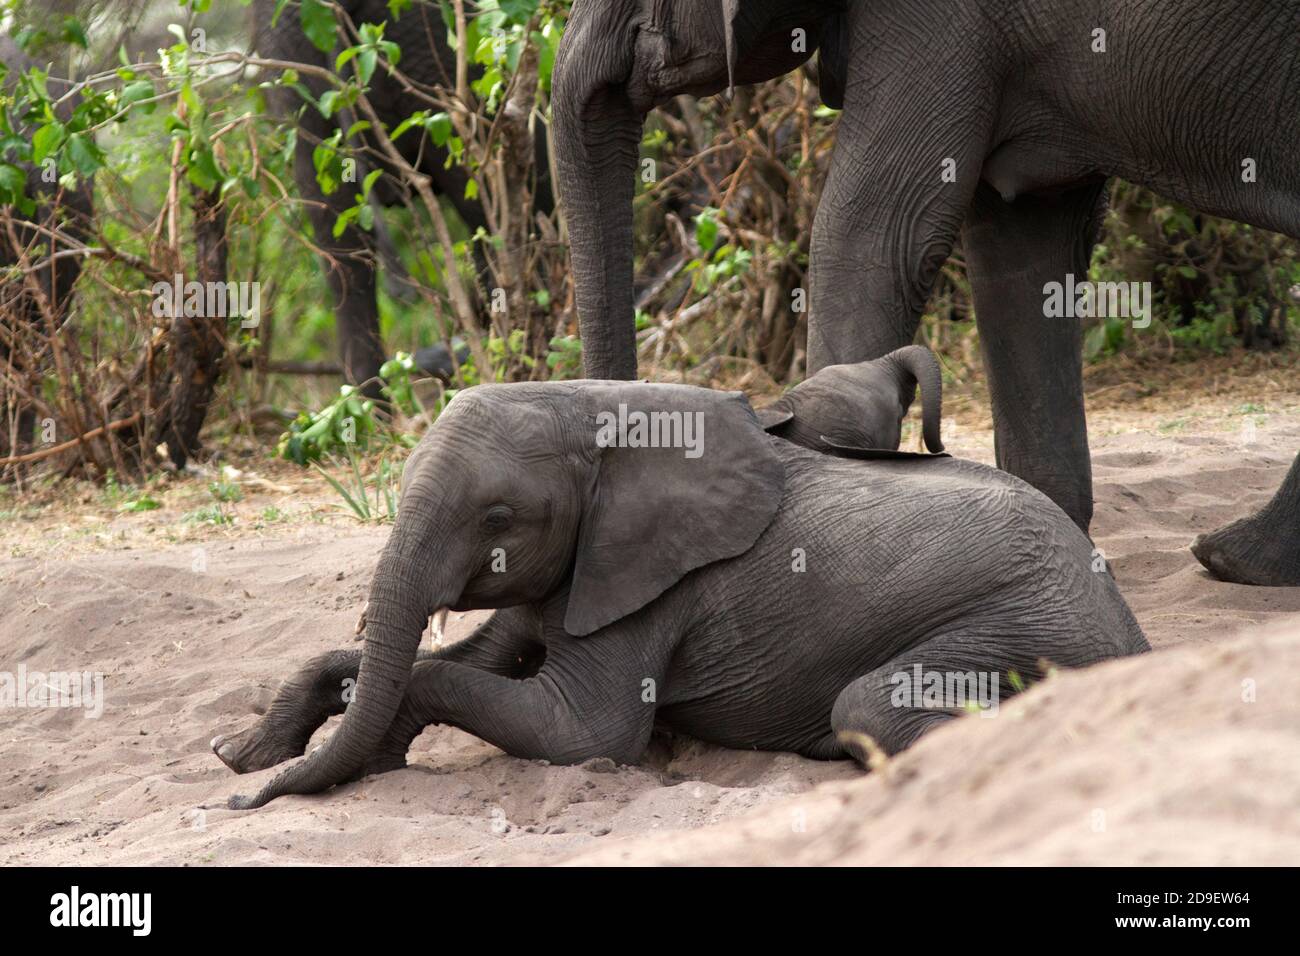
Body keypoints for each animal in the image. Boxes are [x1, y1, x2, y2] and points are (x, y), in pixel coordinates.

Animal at [215, 372, 1148, 809]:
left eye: (498, 516)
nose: (243, 799)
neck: (595, 405)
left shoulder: (656, 582)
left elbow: (577, 731)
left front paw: (354, 755)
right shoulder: (583, 566)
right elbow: (469, 656)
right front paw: (245, 750)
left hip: (1020, 623)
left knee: (868, 707)